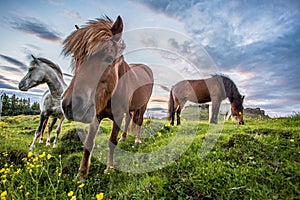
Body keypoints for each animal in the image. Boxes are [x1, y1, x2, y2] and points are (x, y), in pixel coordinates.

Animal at [61, 16, 154, 180]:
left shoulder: (117, 115)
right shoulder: (95, 114)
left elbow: (111, 142)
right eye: (76, 58)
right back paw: (124, 137)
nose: (70, 106)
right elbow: (88, 142)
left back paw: (137, 140)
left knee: (139, 121)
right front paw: (81, 173)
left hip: (142, 107)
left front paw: (109, 168)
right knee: (130, 120)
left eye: (109, 58)